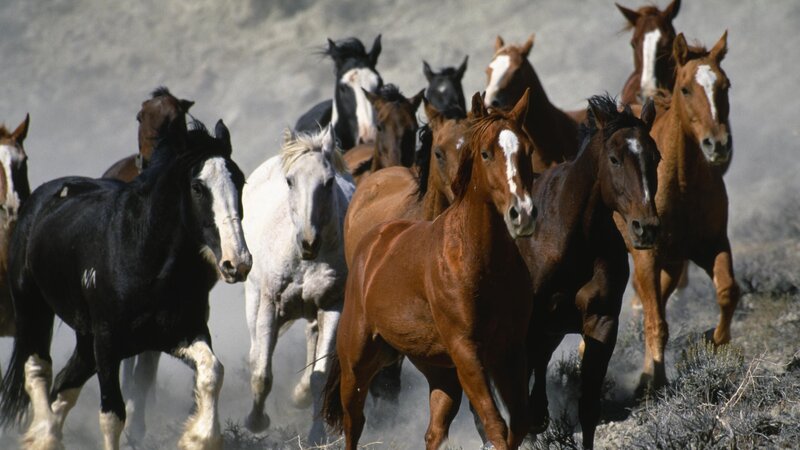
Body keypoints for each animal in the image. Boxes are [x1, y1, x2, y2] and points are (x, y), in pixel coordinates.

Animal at [0, 119, 251, 450]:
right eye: (197, 187)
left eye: (241, 181)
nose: (238, 262)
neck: (143, 257)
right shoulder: (108, 343)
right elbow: (112, 415)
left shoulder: (178, 333)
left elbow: (212, 371)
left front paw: (198, 437)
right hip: (32, 309)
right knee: (37, 370)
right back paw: (45, 434)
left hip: (85, 338)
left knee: (65, 385)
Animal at [241, 125, 354, 445]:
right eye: (290, 181)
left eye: (328, 182)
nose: (308, 242)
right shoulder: (270, 304)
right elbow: (262, 372)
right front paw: (256, 422)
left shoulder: (332, 307)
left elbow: (320, 375)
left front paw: (316, 434)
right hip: (253, 296)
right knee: (256, 350)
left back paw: (300, 395)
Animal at [323, 89, 537, 450]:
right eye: (486, 153)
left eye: (528, 150)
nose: (522, 213)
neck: (476, 259)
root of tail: (373, 241)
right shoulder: (467, 351)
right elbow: (495, 426)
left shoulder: (509, 349)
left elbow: (517, 424)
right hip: (357, 363)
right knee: (354, 424)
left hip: (438, 371)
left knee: (434, 430)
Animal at [513, 95, 660, 449]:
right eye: (614, 159)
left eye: (656, 157)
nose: (646, 227)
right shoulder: (528, 326)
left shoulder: (601, 322)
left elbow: (589, 408)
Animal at [620, 31, 737, 394]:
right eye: (685, 89)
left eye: (725, 85)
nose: (718, 144)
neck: (681, 185)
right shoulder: (647, 256)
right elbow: (656, 320)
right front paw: (653, 381)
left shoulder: (712, 244)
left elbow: (727, 292)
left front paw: (714, 340)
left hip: (672, 265)